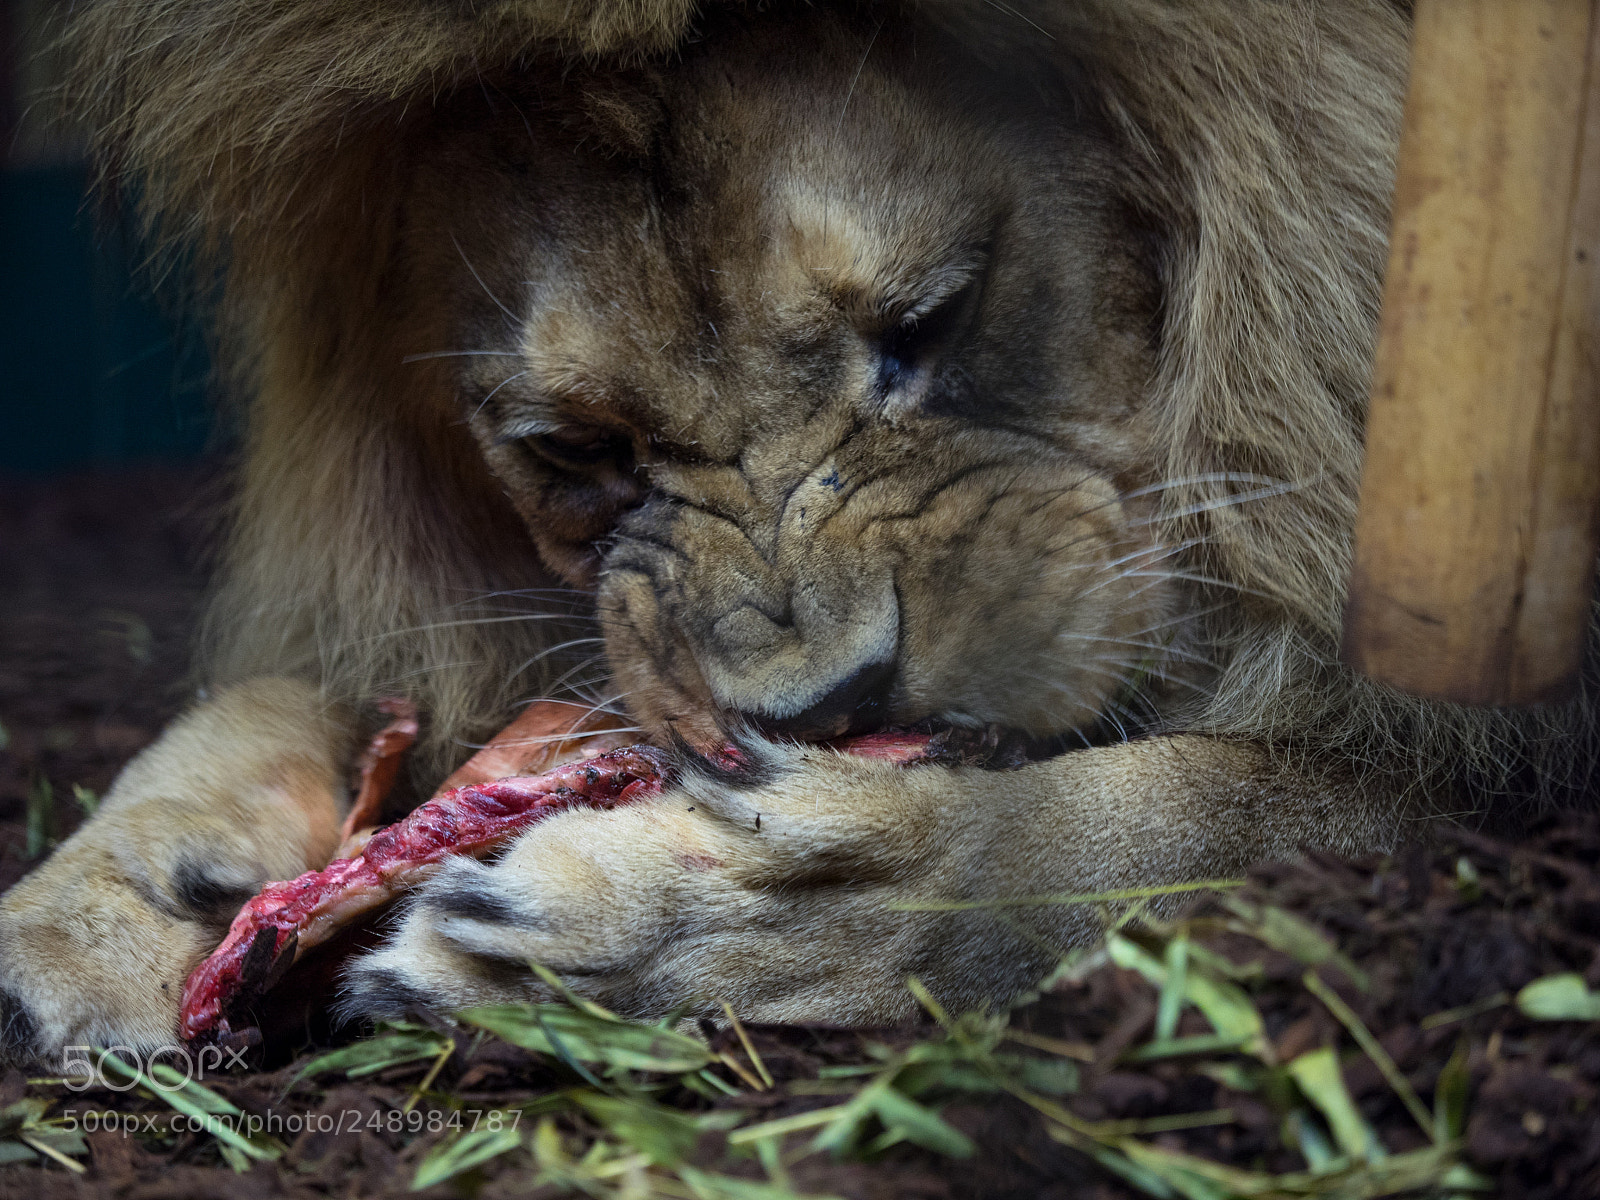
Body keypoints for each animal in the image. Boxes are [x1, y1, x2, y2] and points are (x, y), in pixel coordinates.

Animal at [1, 0, 1594, 1063]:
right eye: (576, 451)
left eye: (931, 322)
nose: (826, 708)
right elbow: (271, 698)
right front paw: (108, 895)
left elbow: (1183, 821)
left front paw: (755, 899)